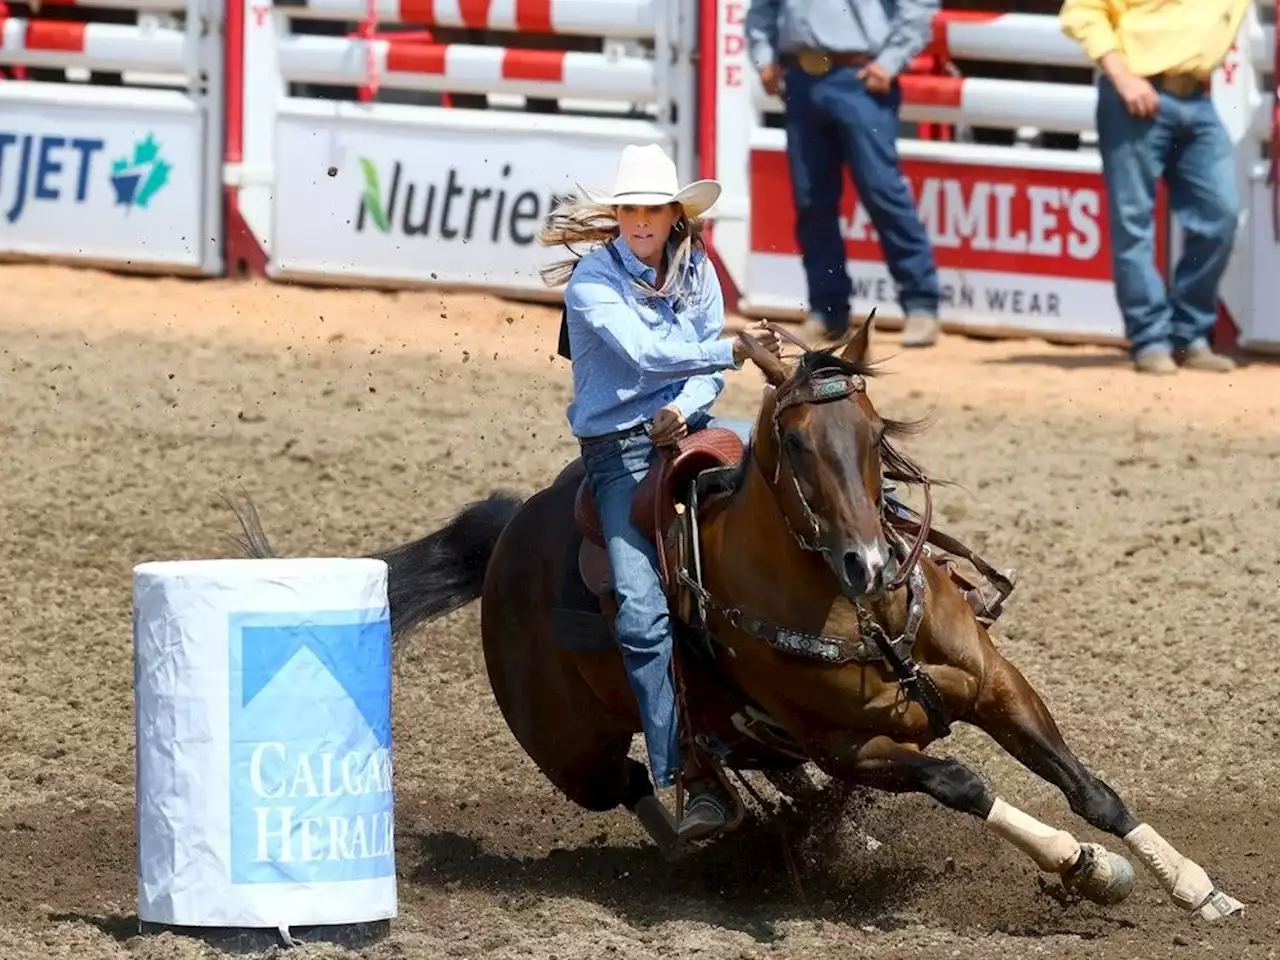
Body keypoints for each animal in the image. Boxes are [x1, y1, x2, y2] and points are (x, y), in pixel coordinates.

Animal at [227, 316, 1239, 926]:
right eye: (791, 442)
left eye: (874, 434)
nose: (872, 563)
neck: (853, 607)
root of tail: (509, 535)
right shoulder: (849, 746)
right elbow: (962, 781)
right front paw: (1079, 864)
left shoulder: (994, 683)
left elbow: (1090, 788)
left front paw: (1197, 889)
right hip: (572, 750)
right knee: (640, 783)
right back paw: (714, 835)